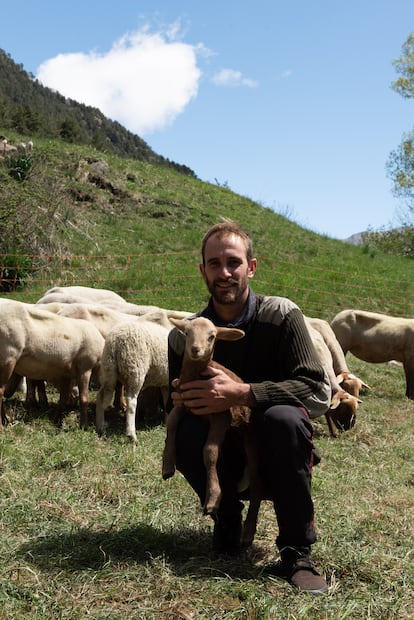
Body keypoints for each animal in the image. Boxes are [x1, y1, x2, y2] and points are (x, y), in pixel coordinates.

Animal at [162, 320, 262, 548]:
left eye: (212, 336)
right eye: (187, 332)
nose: (195, 349)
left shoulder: (221, 415)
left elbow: (209, 451)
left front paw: (213, 498)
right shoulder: (184, 402)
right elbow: (171, 422)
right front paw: (167, 465)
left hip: (251, 441)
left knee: (257, 486)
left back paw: (248, 533)